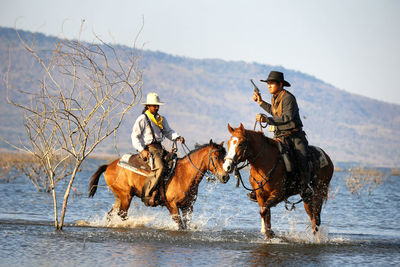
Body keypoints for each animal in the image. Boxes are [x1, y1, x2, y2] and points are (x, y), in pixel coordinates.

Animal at [89, 140, 230, 230]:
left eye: (225, 156)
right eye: (215, 156)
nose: (225, 176)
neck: (184, 174)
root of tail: (109, 166)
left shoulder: (188, 207)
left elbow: (187, 225)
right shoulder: (172, 205)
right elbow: (180, 225)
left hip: (119, 197)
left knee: (111, 214)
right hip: (126, 196)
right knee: (122, 214)